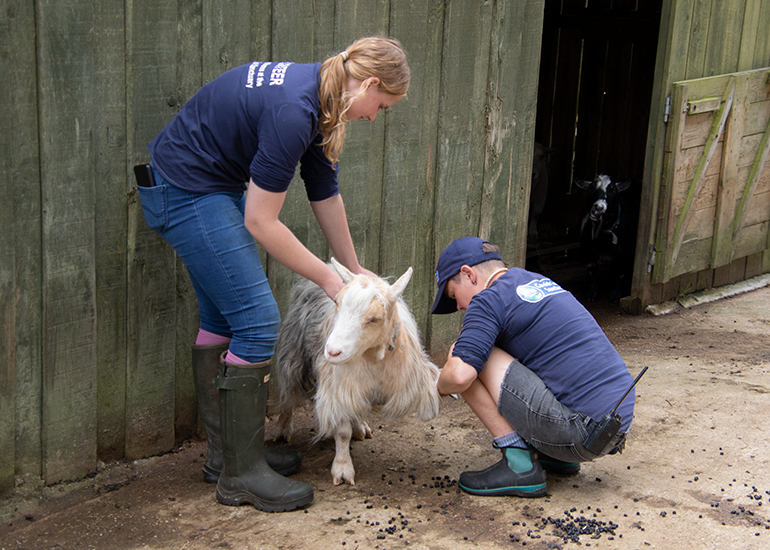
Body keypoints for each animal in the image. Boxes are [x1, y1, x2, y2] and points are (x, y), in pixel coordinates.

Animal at [271, 258, 441, 486]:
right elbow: (342, 432)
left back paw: (360, 427)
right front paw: (343, 469)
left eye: (375, 318)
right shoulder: (337, 388)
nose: (332, 352)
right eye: (337, 303)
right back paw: (283, 430)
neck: (373, 359)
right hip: (293, 355)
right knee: (288, 392)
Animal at [575, 175, 638, 303]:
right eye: (590, 189)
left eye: (614, 191)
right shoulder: (588, 249)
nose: (598, 207)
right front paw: (592, 294)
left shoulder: (627, 252)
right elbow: (592, 270)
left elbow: (621, 273)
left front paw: (615, 295)